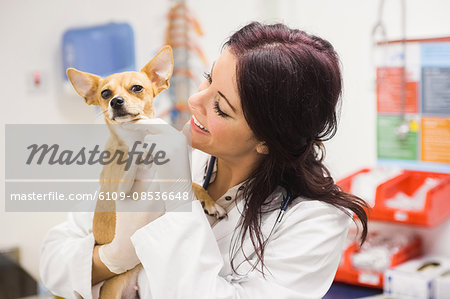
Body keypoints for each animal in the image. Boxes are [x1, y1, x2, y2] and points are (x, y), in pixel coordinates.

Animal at [67, 45, 225, 298]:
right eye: (105, 93)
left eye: (137, 88)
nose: (116, 101)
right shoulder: (117, 187)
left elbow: (193, 184)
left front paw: (210, 201)